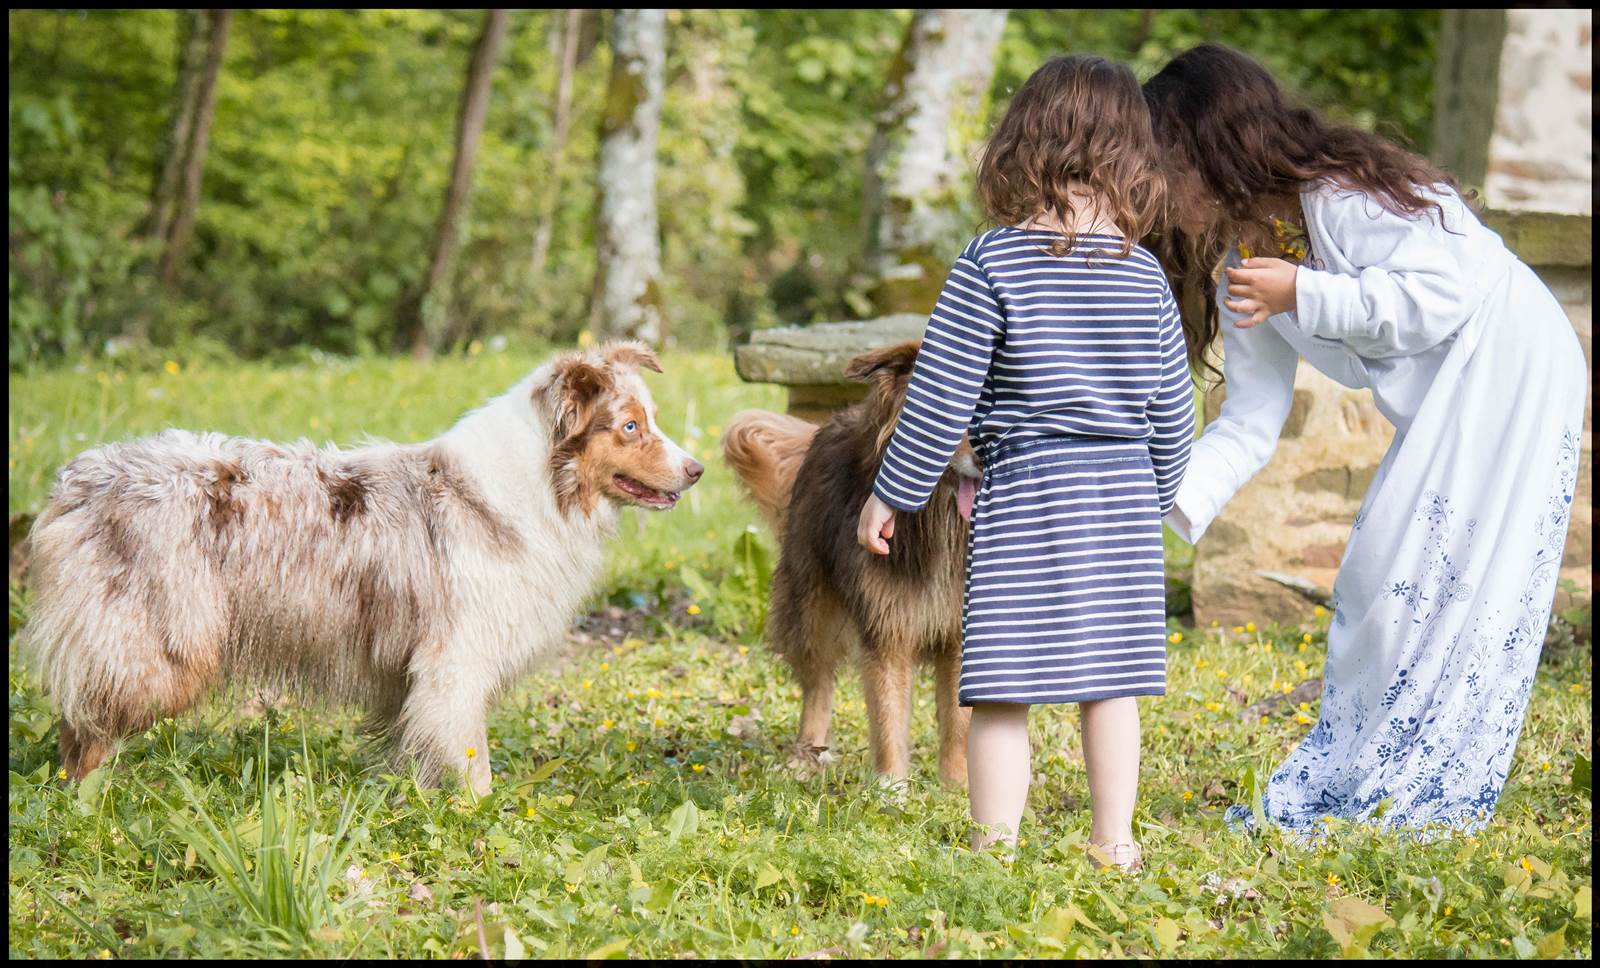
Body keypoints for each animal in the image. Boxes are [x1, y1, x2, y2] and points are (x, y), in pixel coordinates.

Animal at [20, 342, 700, 793]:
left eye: (651, 420)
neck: (538, 485)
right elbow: (471, 758)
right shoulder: (456, 662)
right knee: (87, 724)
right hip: (162, 648)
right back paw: (88, 804)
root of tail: (80, 477)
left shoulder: (416, 679)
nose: (695, 469)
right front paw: (482, 817)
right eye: (631, 426)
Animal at [723, 339, 972, 784]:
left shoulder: (959, 634)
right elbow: (889, 717)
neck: (938, 524)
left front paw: (957, 786)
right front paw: (892, 787)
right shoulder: (886, 627)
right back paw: (805, 756)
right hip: (810, 603)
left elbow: (957, 723)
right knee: (818, 682)